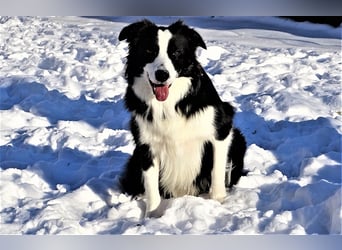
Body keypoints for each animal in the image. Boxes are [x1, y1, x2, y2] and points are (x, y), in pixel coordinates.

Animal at [118, 19, 246, 216]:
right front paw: (152, 216)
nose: (162, 75)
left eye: (176, 53)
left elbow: (217, 172)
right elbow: (151, 187)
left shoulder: (221, 130)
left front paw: (218, 202)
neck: (169, 104)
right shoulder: (146, 145)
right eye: (149, 51)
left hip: (239, 139)